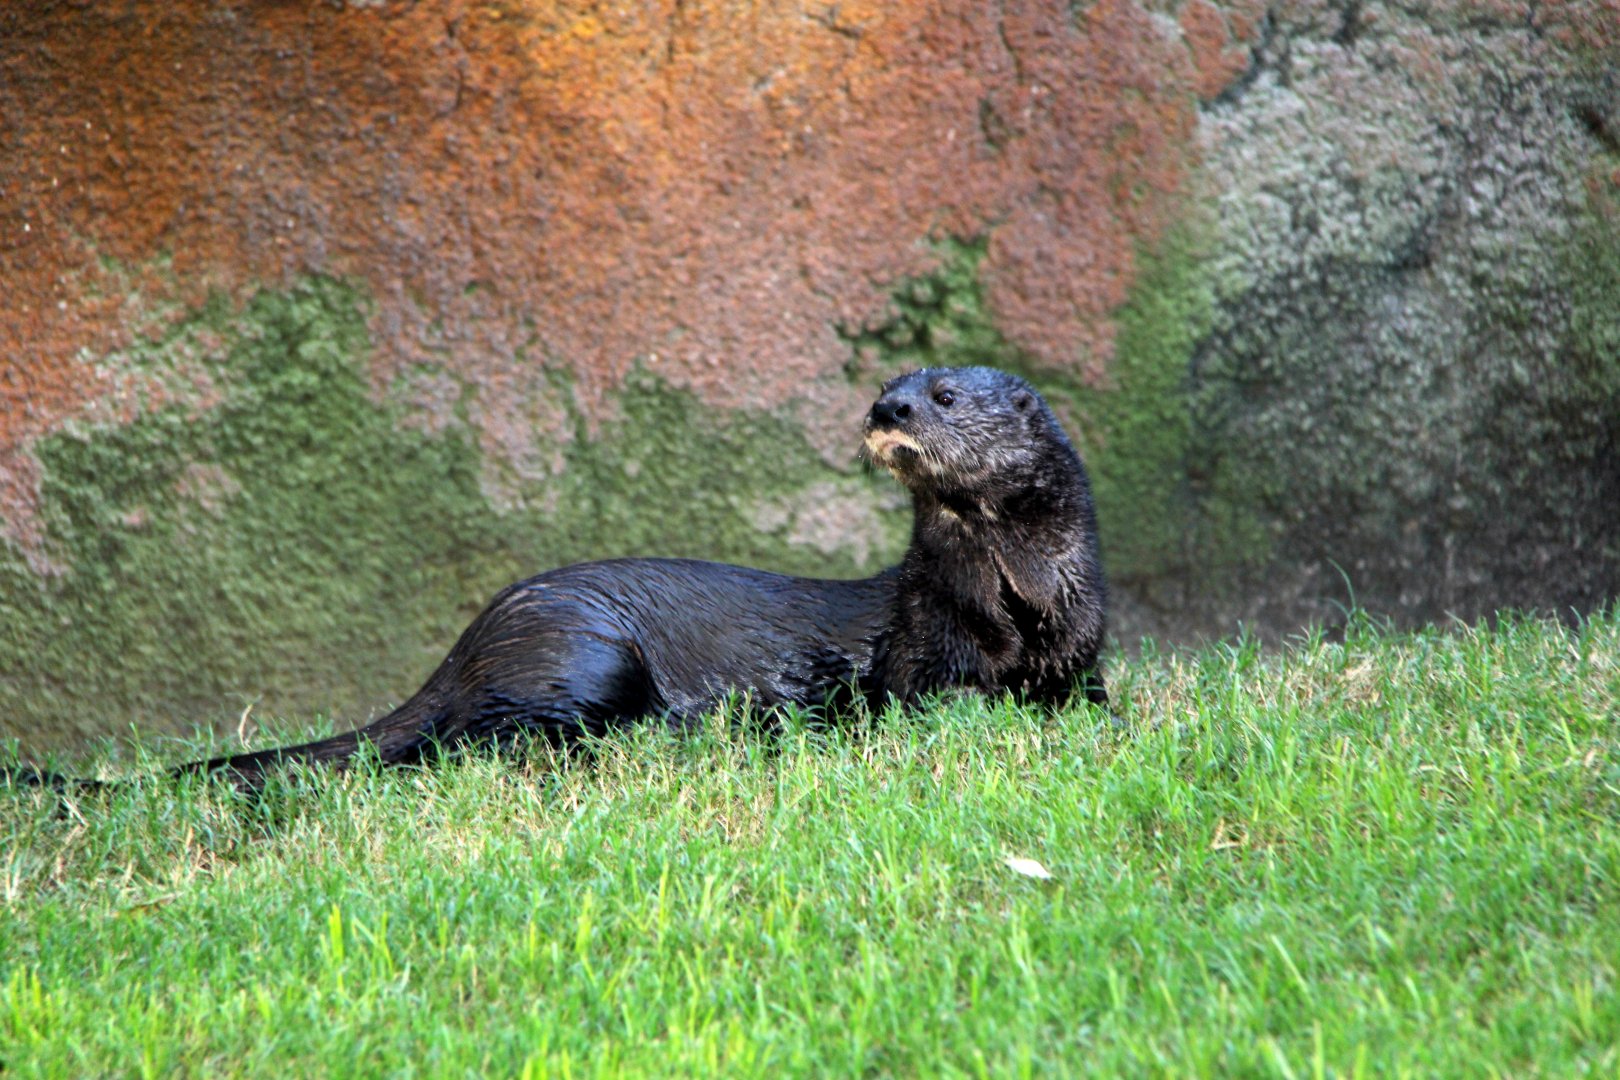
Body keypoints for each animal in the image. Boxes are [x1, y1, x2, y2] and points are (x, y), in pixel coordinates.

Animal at [7, 367, 1107, 791]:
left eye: (944, 392)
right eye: (890, 382)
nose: (886, 407)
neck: (1018, 604)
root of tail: (471, 636)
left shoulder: (1086, 658)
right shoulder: (923, 659)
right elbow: (920, 701)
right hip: (578, 643)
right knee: (476, 740)